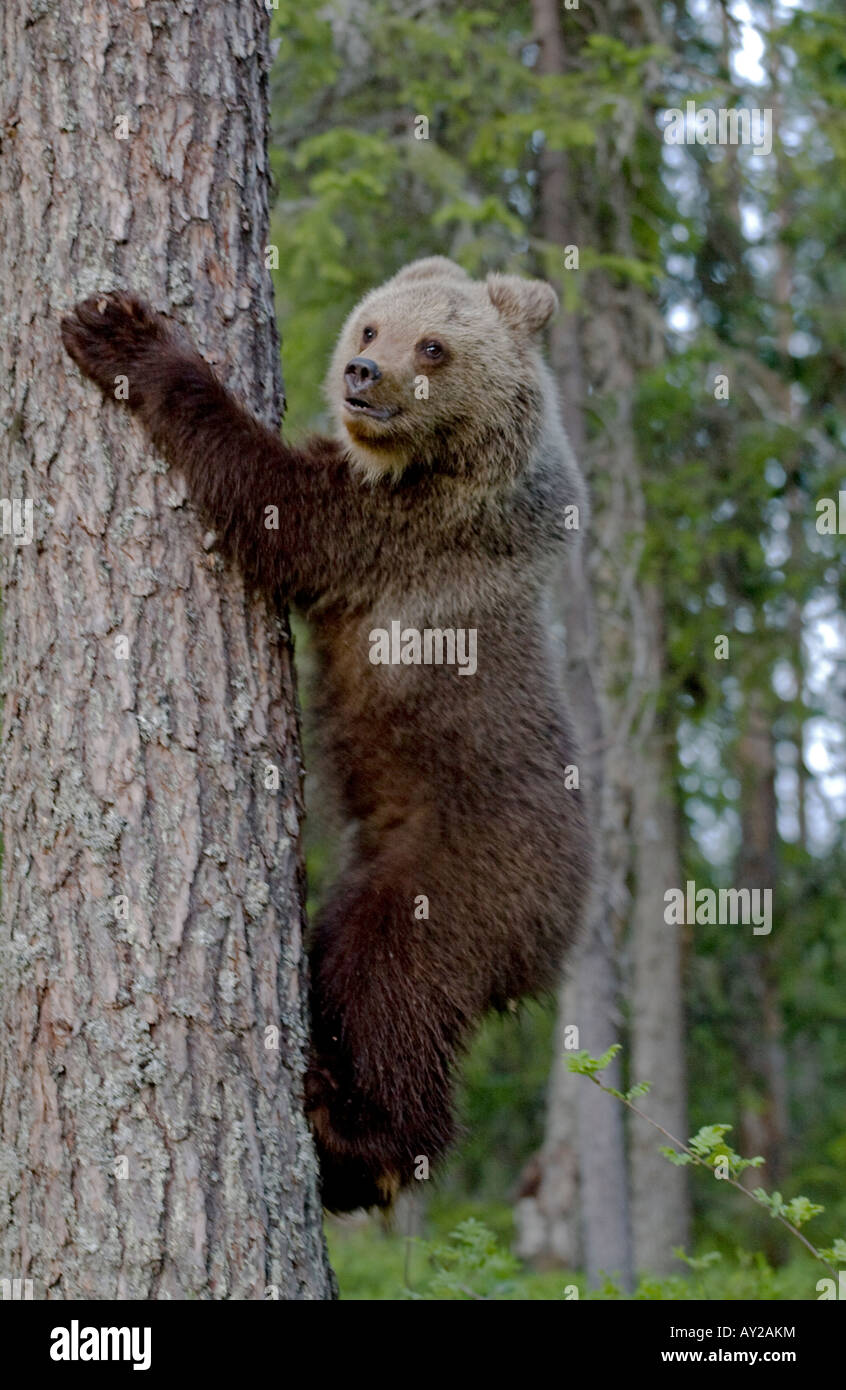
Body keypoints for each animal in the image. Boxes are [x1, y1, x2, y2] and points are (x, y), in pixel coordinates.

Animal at [61, 255, 594, 1212]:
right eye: (373, 324)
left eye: (433, 344)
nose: (361, 374)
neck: (435, 466)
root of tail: (559, 934)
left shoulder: (401, 535)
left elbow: (268, 497)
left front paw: (125, 336)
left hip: (462, 873)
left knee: (391, 983)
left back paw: (360, 1137)